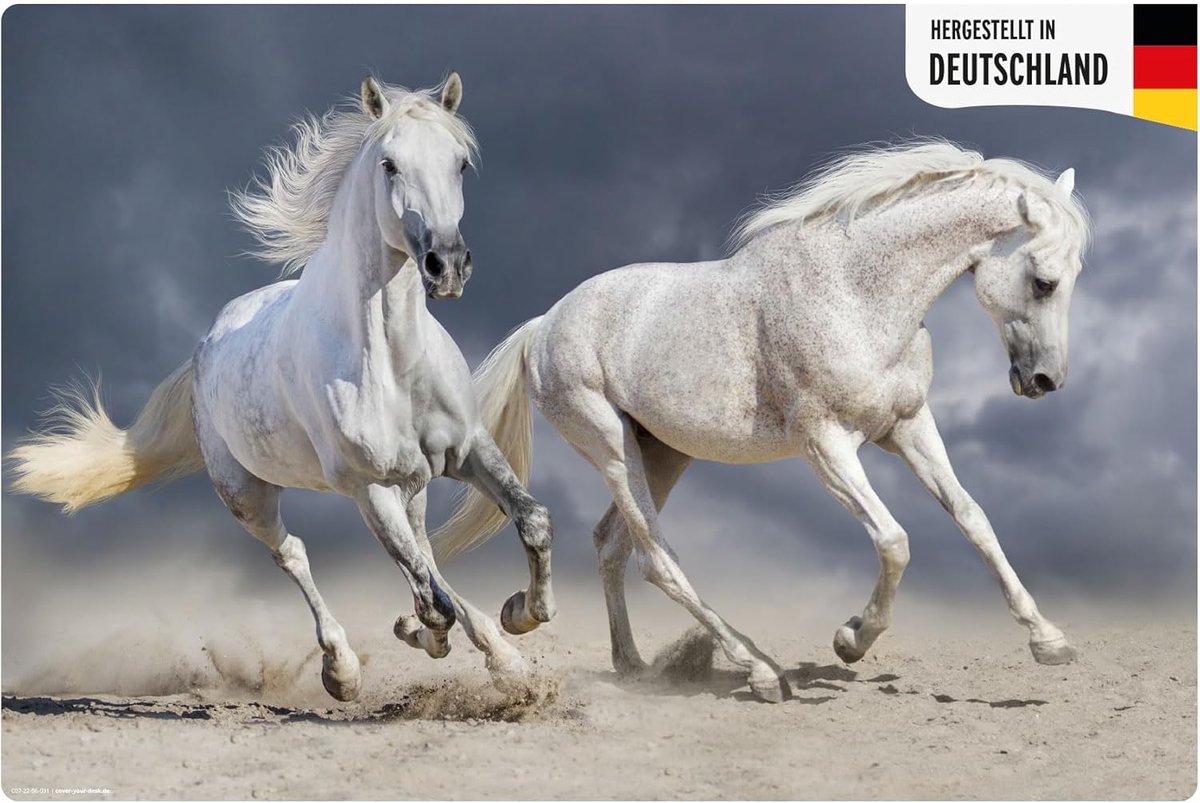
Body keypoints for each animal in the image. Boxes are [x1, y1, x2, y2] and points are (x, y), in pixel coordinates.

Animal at [8, 75, 556, 702]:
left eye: (460, 163)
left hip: (411, 484)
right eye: (389, 164)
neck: (392, 362)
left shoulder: (467, 449)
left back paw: (497, 653)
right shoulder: (369, 487)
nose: (447, 266)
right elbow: (429, 599)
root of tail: (206, 344)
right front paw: (425, 636)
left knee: (424, 551)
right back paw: (342, 669)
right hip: (248, 494)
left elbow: (531, 522)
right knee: (295, 555)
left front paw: (520, 617)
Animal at [431, 140, 1089, 703]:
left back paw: (627, 662)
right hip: (611, 446)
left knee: (612, 546)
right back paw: (761, 672)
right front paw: (851, 639)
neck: (856, 293)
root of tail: (544, 323)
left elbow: (974, 519)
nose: (1044, 381)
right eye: (1043, 281)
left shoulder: (907, 426)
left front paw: (1049, 640)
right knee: (655, 560)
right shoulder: (826, 444)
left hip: (663, 452)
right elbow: (893, 540)